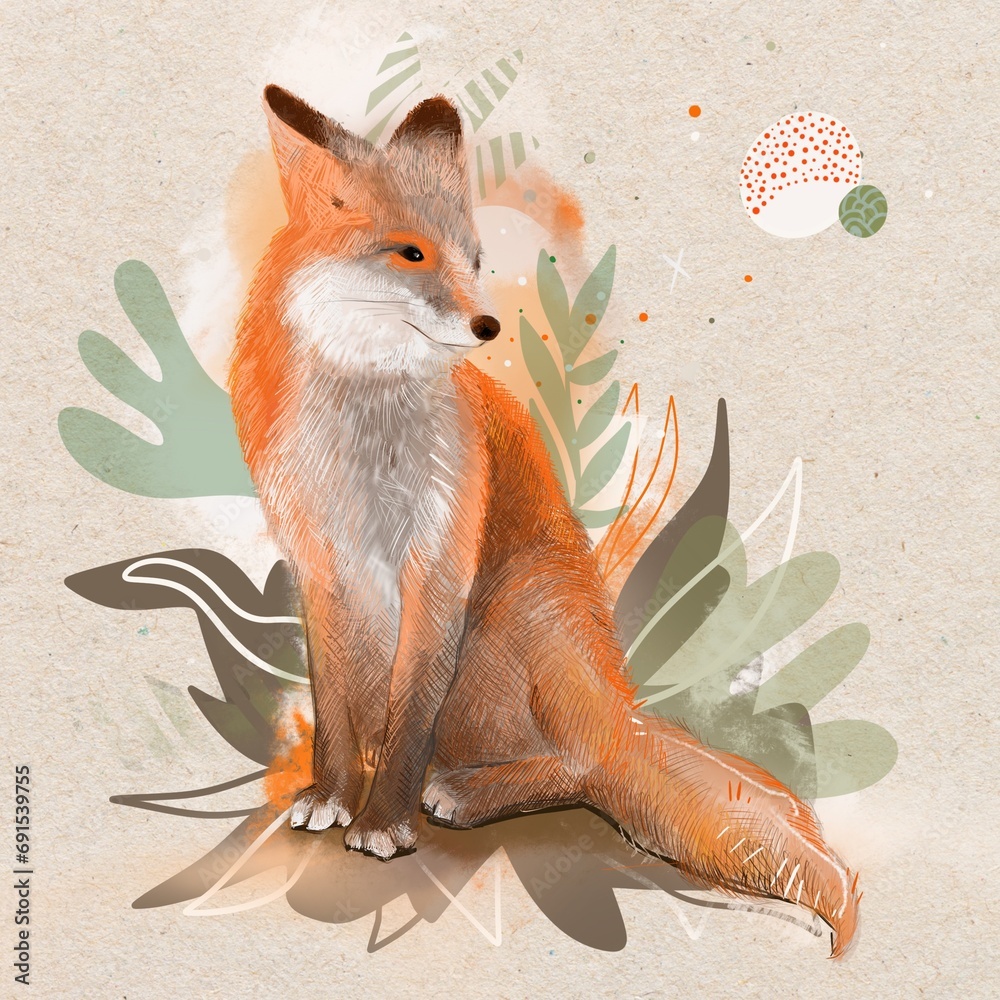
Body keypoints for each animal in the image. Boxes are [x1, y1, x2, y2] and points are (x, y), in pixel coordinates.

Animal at [228, 84, 861, 958]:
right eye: (412, 254)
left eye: (474, 261)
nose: (488, 327)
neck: (362, 438)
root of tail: (618, 705)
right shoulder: (322, 563)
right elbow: (335, 704)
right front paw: (333, 792)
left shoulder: (440, 558)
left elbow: (409, 712)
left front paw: (384, 823)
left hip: (510, 616)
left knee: (575, 768)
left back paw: (464, 792)